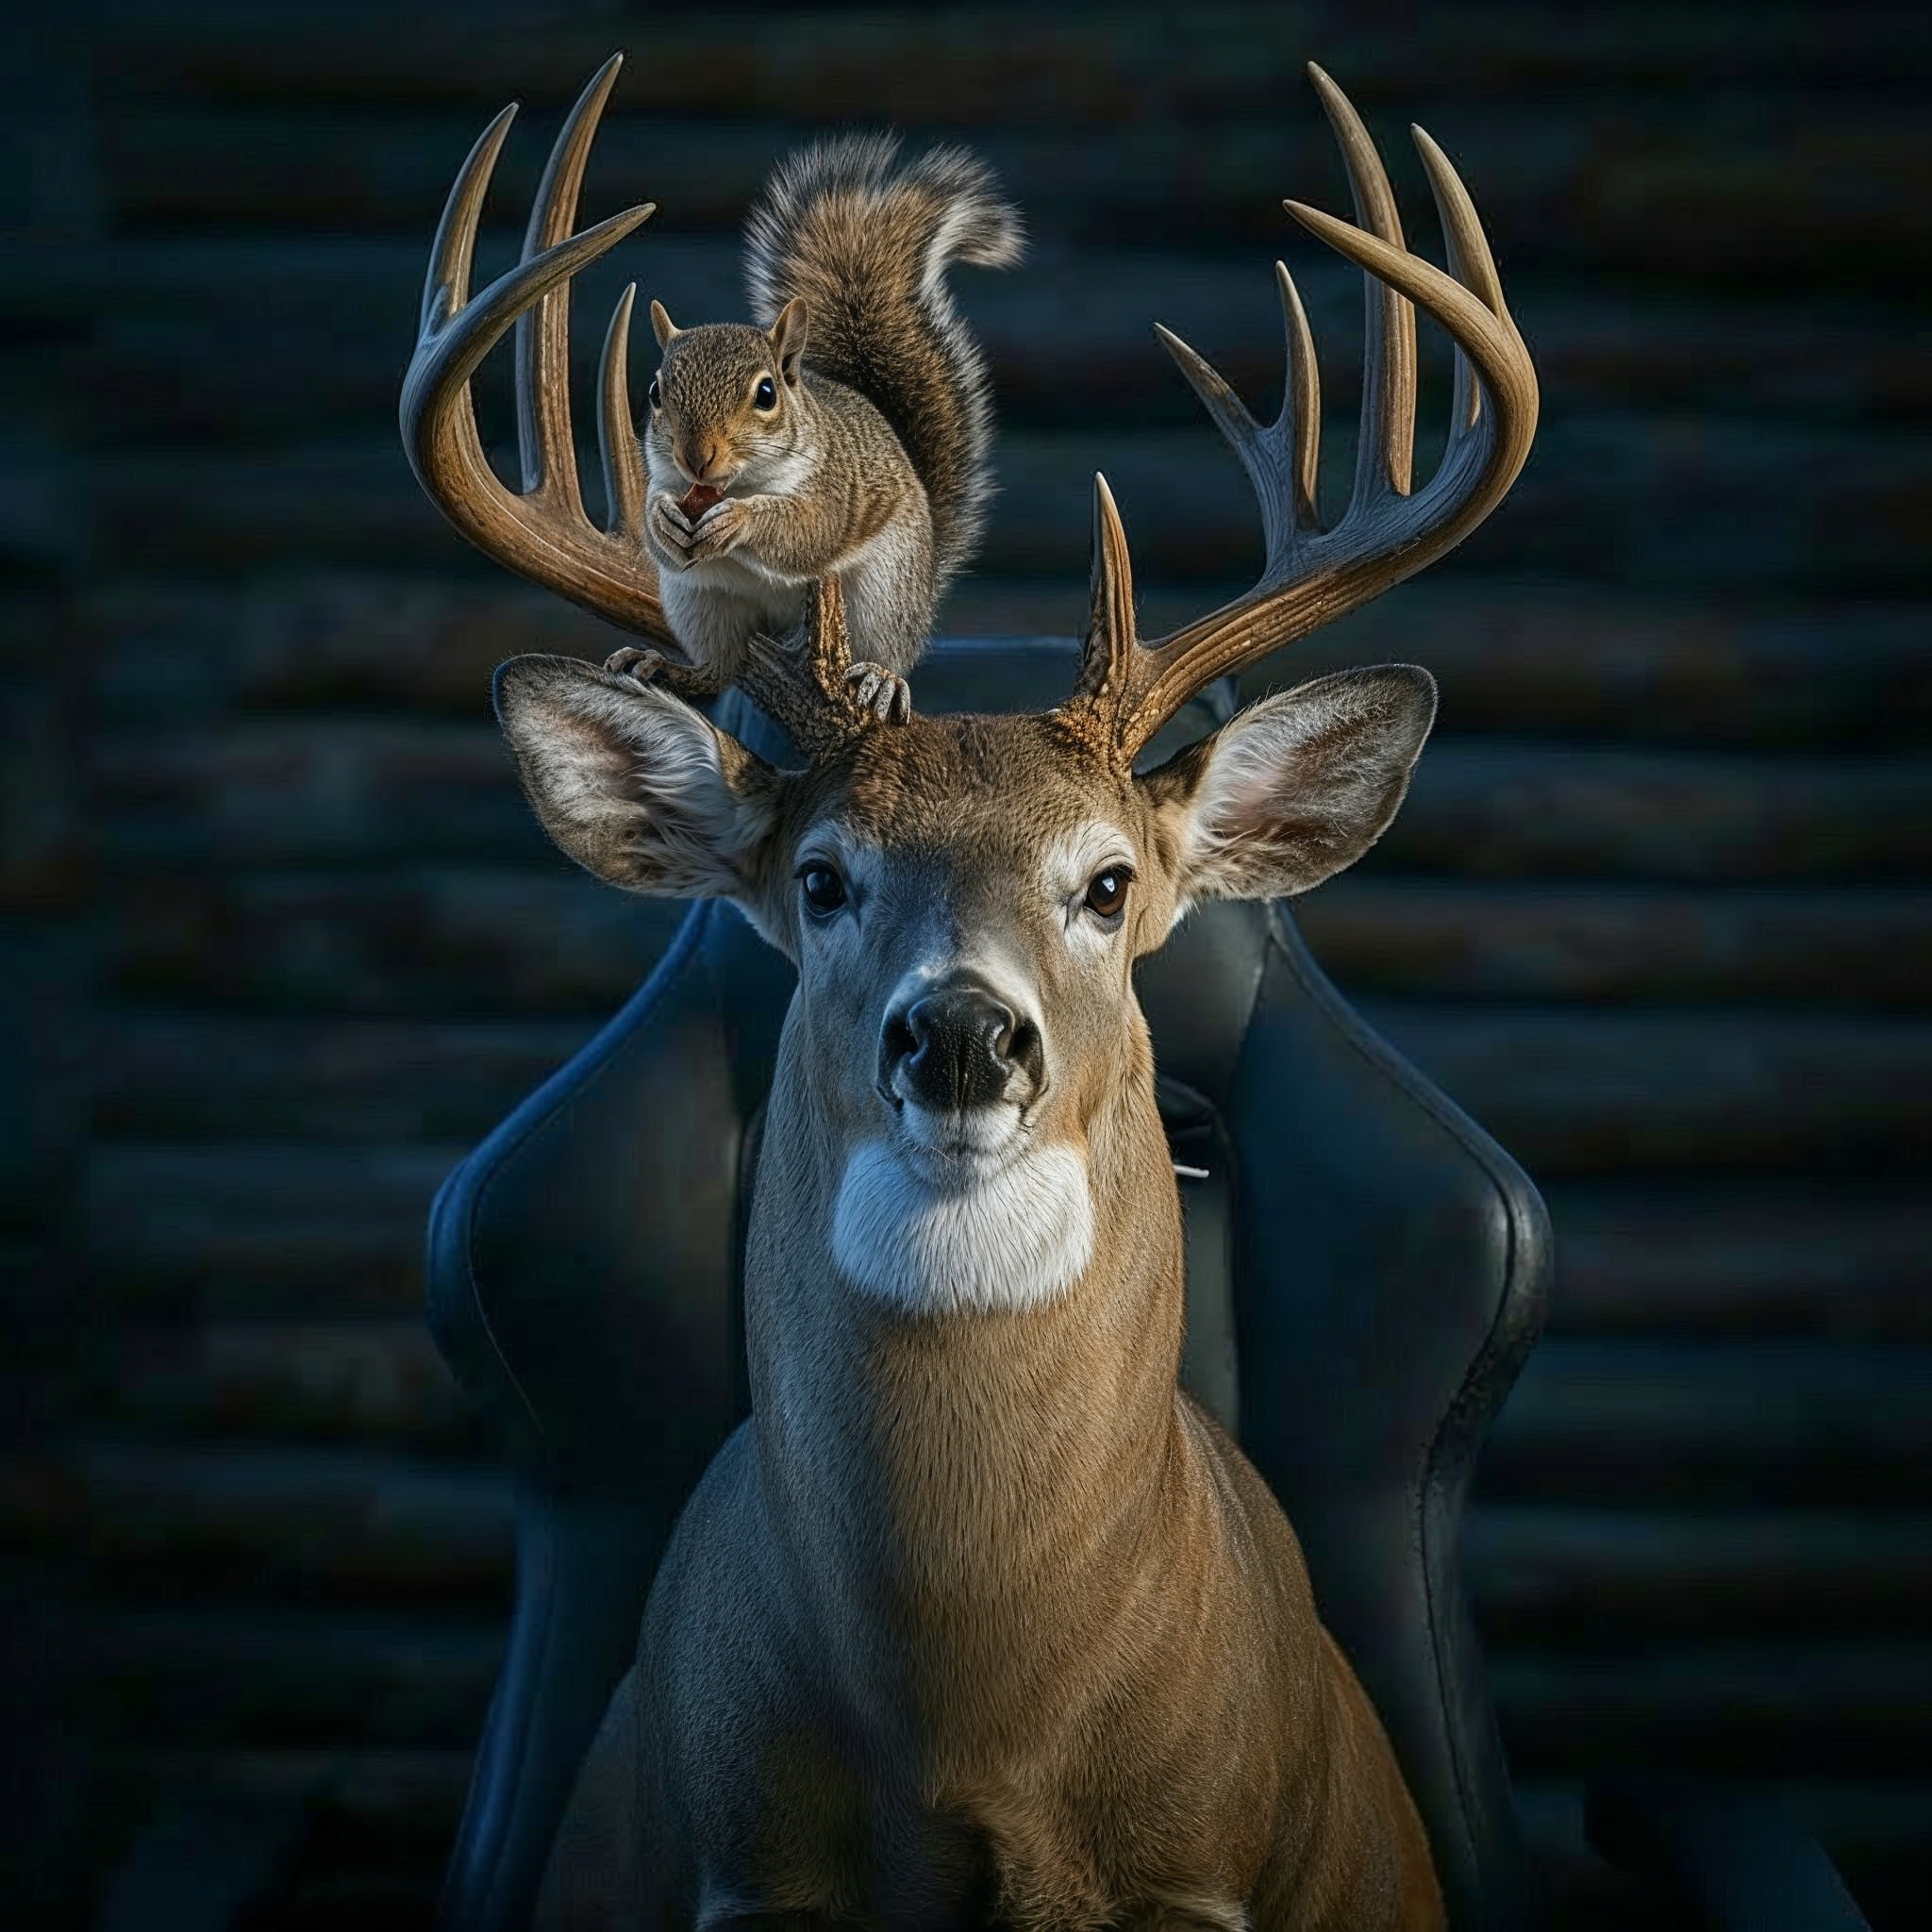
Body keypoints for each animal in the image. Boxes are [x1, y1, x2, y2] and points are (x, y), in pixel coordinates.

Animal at [604, 134, 1024, 719]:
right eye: (654, 392)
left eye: (765, 394)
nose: (696, 457)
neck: (736, 484)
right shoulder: (667, 480)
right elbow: (658, 533)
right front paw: (663, 517)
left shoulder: (834, 488)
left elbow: (810, 531)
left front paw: (742, 521)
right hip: (700, 602)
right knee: (721, 667)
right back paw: (669, 667)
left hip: (883, 593)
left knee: (886, 649)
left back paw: (881, 678)